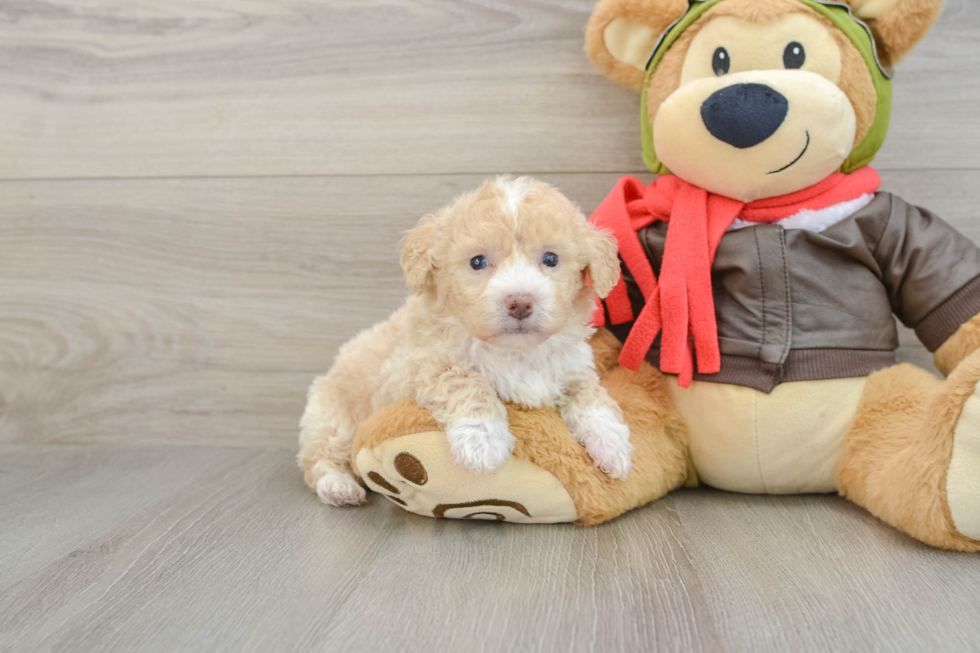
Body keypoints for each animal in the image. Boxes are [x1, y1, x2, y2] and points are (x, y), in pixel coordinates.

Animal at [300, 176, 636, 506]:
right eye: (477, 262)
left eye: (550, 259)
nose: (520, 302)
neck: (516, 352)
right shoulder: (417, 364)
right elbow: (465, 381)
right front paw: (483, 440)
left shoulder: (573, 368)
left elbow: (591, 398)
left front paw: (613, 444)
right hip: (334, 417)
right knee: (320, 457)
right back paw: (338, 486)